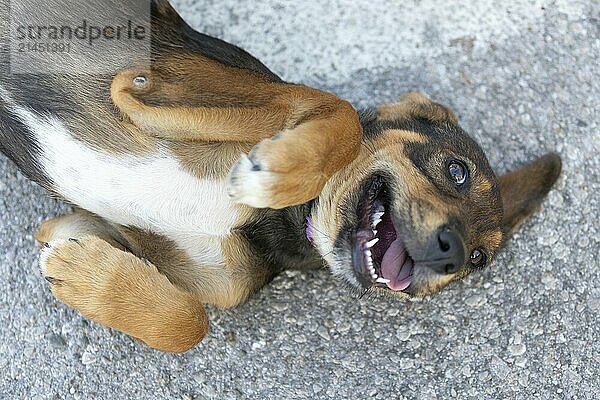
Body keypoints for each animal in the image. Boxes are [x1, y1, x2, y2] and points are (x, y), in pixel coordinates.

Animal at [1, 0, 564, 352]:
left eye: (478, 260)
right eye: (457, 171)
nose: (451, 251)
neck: (286, 224)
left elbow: (190, 321)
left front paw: (84, 272)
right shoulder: (156, 78)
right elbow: (338, 114)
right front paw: (273, 175)